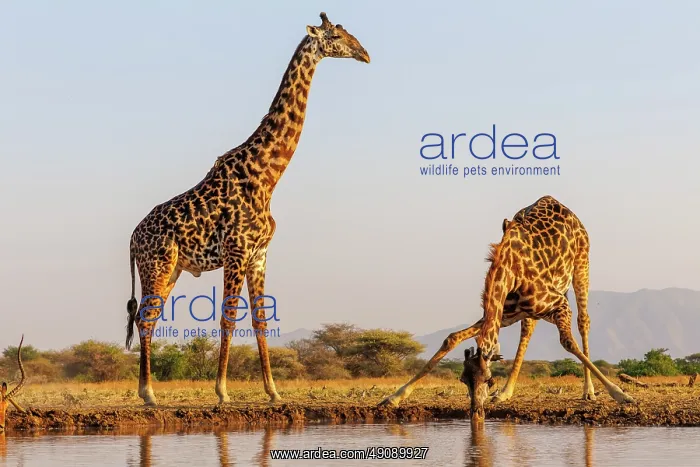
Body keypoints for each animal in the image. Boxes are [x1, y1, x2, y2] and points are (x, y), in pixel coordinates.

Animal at [125, 12, 370, 407]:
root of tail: (131, 239)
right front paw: (223, 391)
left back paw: (148, 391)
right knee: (145, 319)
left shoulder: (259, 255)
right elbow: (228, 317)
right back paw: (148, 395)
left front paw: (273, 391)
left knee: (150, 318)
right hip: (157, 264)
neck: (267, 176)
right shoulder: (236, 251)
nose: (365, 54)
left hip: (172, 269)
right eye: (335, 36)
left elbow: (260, 320)